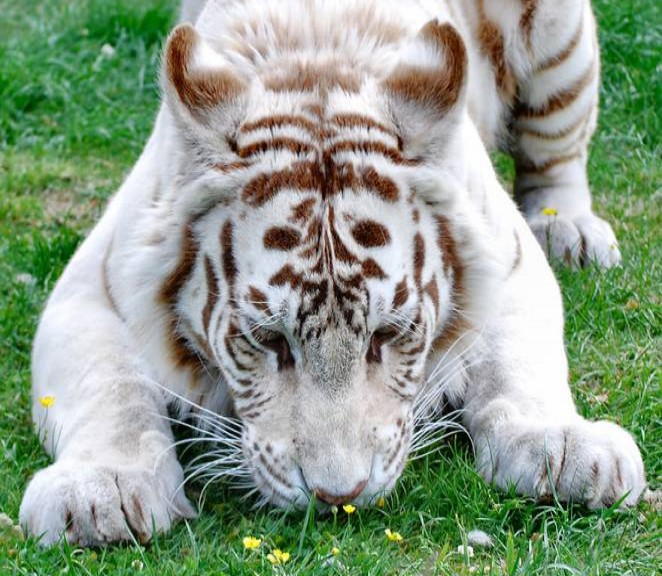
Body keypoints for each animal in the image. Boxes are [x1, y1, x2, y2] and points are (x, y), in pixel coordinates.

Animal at [22, 0, 648, 548]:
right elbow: (111, 388)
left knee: (557, 156)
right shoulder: (90, 288)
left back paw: (572, 231)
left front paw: (563, 447)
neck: (314, 58)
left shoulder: (511, 260)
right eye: (267, 339)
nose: (338, 496)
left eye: (388, 334)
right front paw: (101, 491)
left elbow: (518, 365)